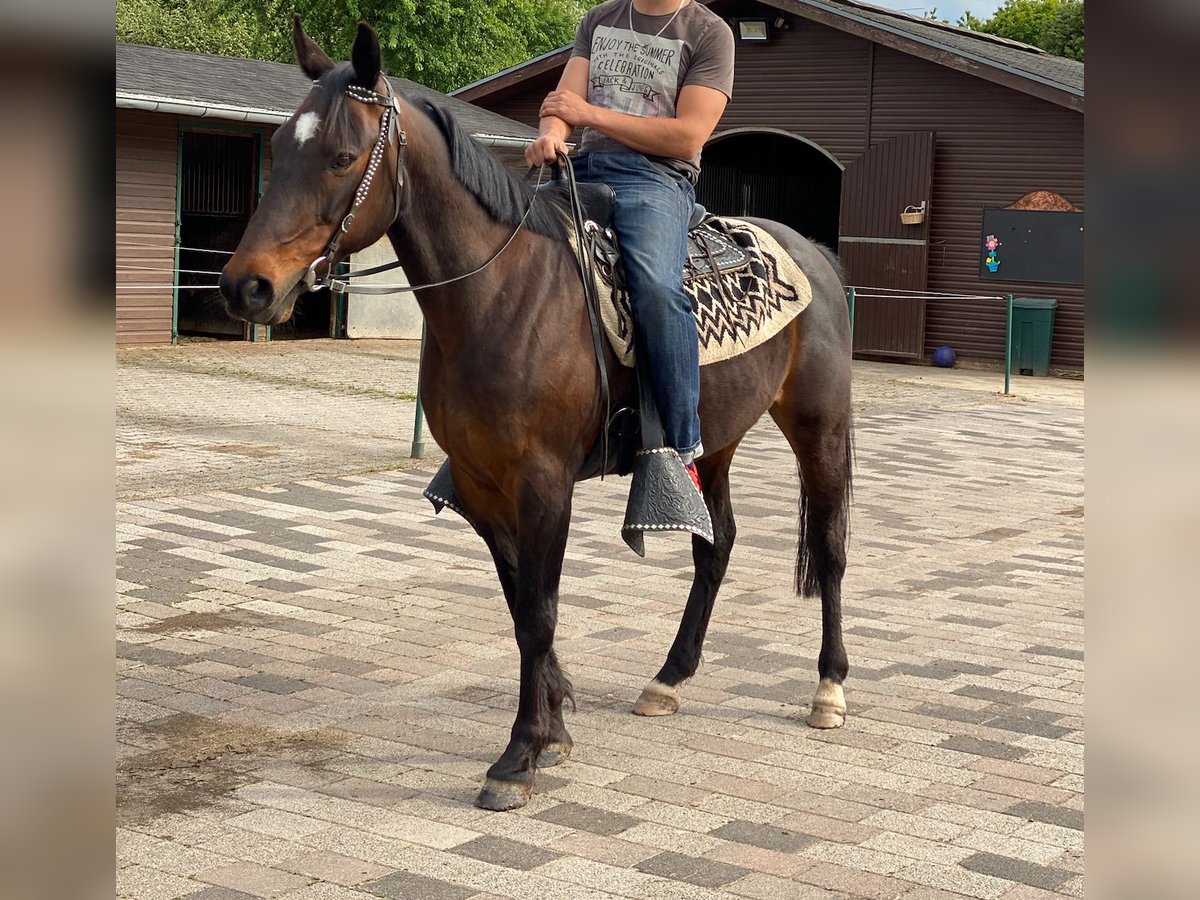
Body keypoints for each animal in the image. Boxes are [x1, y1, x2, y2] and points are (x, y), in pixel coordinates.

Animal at [216, 17, 854, 816]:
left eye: (339, 156)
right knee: (718, 543)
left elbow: (541, 610)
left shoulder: (544, 483)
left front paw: (517, 756)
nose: (246, 287)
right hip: (713, 440)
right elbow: (521, 608)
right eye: (277, 148)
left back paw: (829, 688)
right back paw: (667, 678)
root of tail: (813, 251)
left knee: (828, 546)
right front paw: (552, 730)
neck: (499, 294)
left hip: (819, 426)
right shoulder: (484, 485)